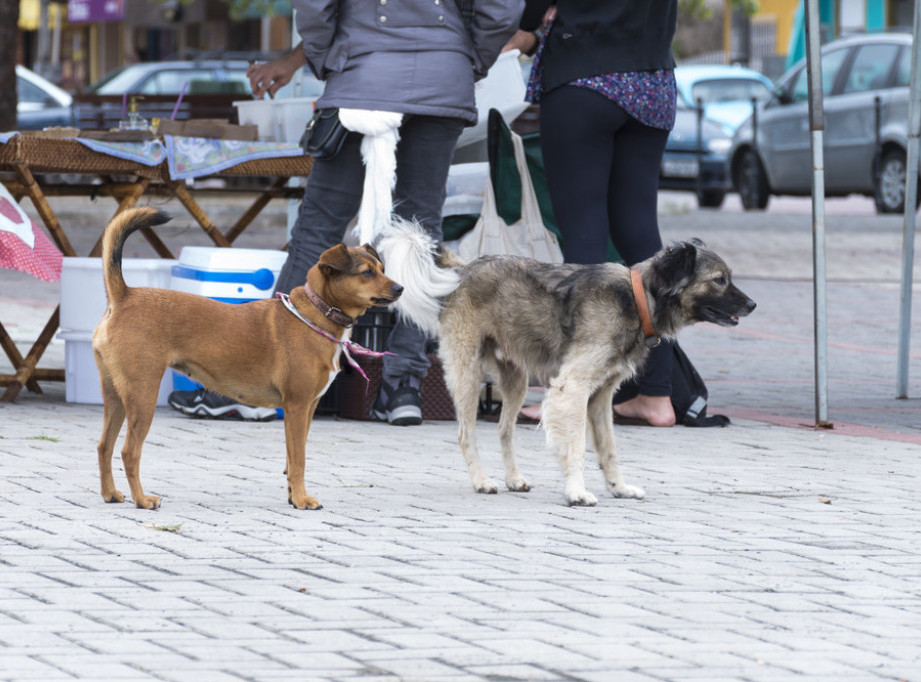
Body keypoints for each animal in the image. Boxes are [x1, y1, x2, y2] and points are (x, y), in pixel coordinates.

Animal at [92, 207, 402, 510]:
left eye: (382, 269)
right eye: (366, 273)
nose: (400, 288)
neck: (315, 315)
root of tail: (124, 296)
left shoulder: (308, 409)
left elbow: (292, 458)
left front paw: (293, 496)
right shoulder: (297, 406)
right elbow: (298, 459)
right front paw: (302, 500)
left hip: (116, 395)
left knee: (104, 446)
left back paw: (111, 494)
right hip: (142, 395)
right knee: (129, 451)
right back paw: (142, 500)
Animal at [376, 220, 756, 502]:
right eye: (719, 280)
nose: (753, 305)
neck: (637, 300)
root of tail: (464, 268)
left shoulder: (601, 397)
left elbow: (608, 449)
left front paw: (618, 487)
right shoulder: (571, 388)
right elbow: (576, 448)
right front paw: (576, 491)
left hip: (515, 382)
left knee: (503, 430)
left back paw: (513, 478)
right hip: (467, 375)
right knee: (465, 433)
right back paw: (482, 480)